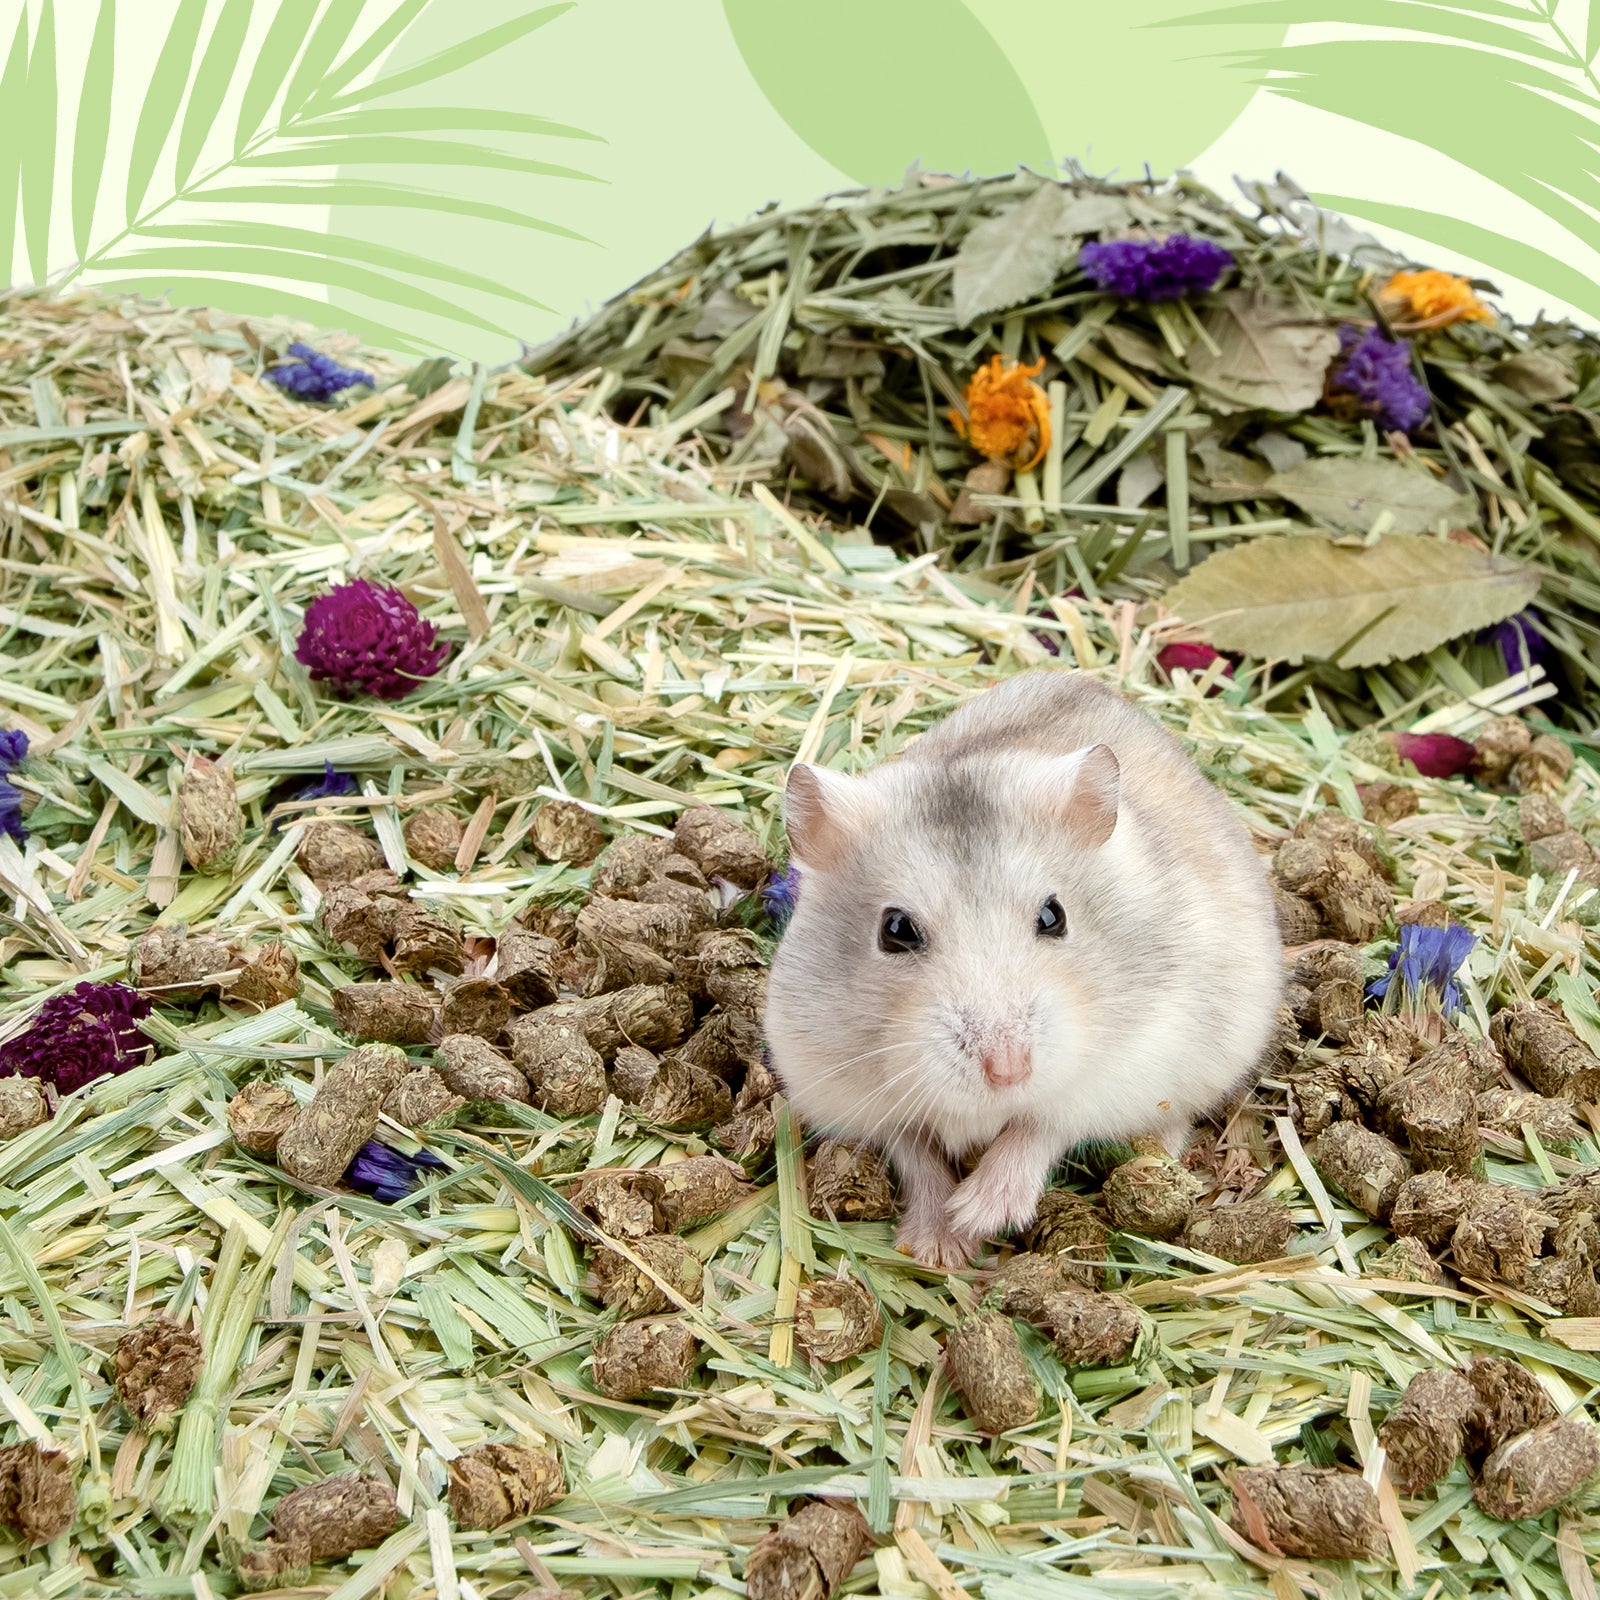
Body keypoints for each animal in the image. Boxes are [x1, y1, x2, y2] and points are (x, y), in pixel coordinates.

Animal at [764, 668, 1282, 1268]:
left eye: (1054, 915)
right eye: (895, 929)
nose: (1008, 1071)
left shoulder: (1122, 1066)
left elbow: (1039, 1127)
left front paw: (979, 1213)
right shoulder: (844, 1087)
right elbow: (915, 1149)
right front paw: (940, 1245)